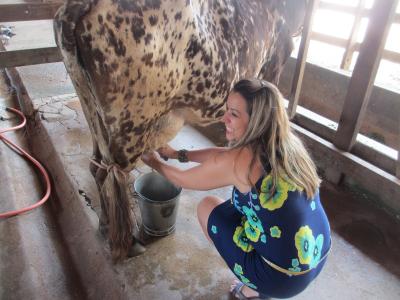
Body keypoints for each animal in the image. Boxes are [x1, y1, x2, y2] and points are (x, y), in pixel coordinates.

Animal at [54, 0, 306, 260]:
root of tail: (79, 5)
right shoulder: (273, 67)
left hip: (91, 110)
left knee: (96, 167)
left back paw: (104, 225)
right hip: (129, 127)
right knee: (112, 176)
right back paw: (128, 241)